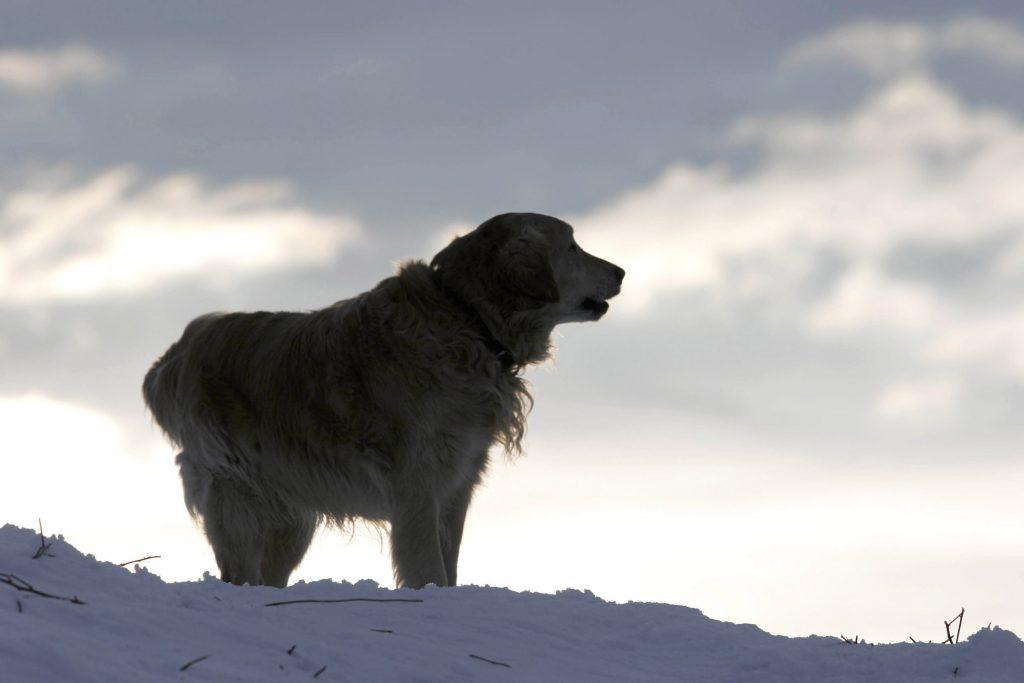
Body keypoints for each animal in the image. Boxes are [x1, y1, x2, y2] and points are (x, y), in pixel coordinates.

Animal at [144, 211, 622, 589]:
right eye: (573, 245)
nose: (620, 272)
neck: (467, 319)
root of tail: (177, 352)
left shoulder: (456, 483)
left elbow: (448, 564)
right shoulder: (417, 484)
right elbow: (427, 566)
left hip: (292, 513)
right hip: (238, 494)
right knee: (239, 571)